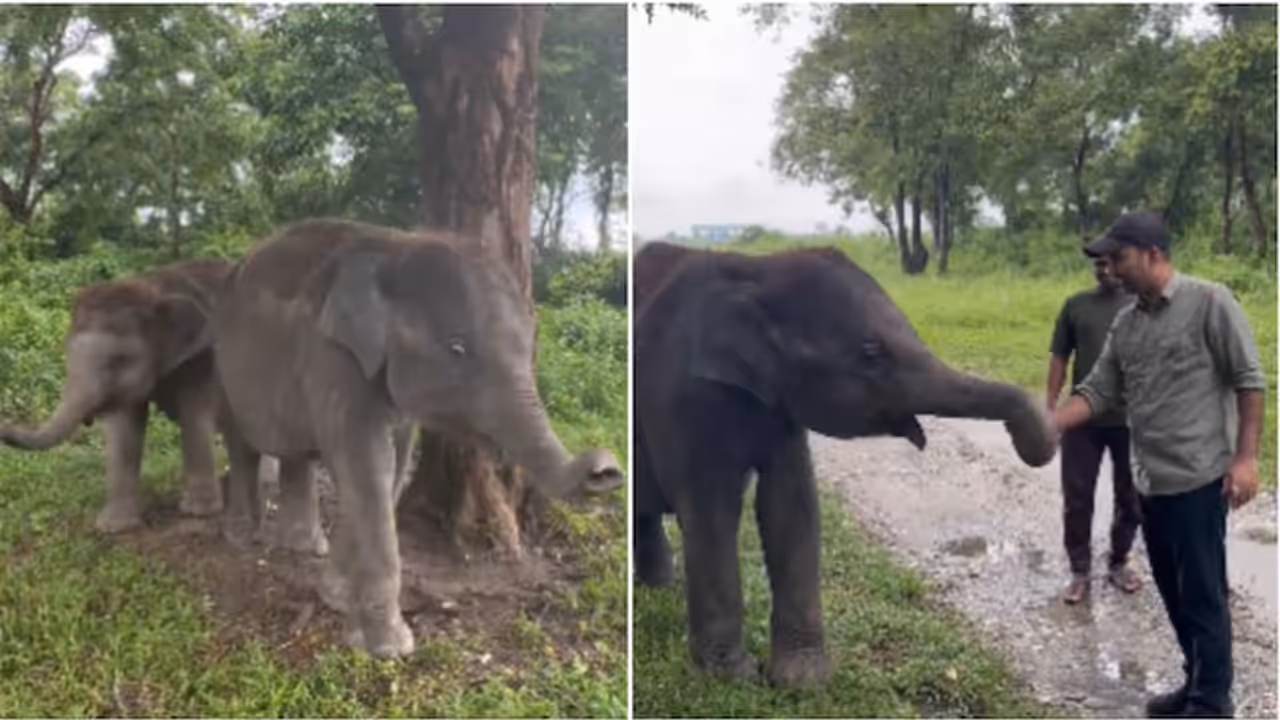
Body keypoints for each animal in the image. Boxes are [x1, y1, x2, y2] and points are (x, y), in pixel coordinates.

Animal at [0, 259, 231, 533]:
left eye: (119, 360)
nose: (4, 423)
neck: (152, 286)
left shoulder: (203, 358)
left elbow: (194, 415)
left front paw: (198, 512)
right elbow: (124, 425)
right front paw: (113, 527)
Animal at [210, 217, 625, 658]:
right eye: (457, 348)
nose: (607, 469)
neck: (397, 245)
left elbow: (393, 463)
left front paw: (335, 597)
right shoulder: (332, 358)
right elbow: (368, 465)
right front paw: (390, 649)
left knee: (297, 455)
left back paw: (303, 547)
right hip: (222, 363)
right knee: (241, 445)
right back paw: (241, 538)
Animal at [632, 241, 1057, 688]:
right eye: (871, 352)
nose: (1028, 445)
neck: (758, 271)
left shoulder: (784, 408)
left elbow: (790, 502)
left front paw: (801, 682)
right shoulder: (678, 398)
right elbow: (712, 511)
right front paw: (731, 680)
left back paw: (661, 588)